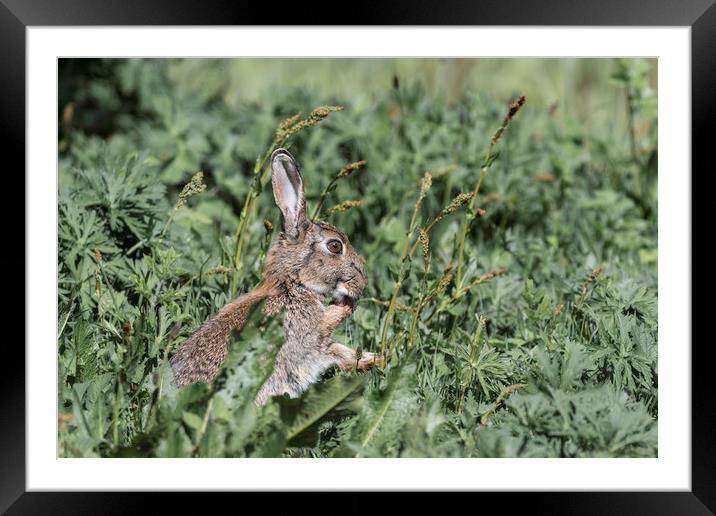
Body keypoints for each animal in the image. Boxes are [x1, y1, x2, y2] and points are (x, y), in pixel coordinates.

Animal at [171, 149, 384, 408]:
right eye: (335, 246)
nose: (362, 284)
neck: (291, 283)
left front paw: (375, 359)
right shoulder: (311, 340)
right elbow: (330, 333)